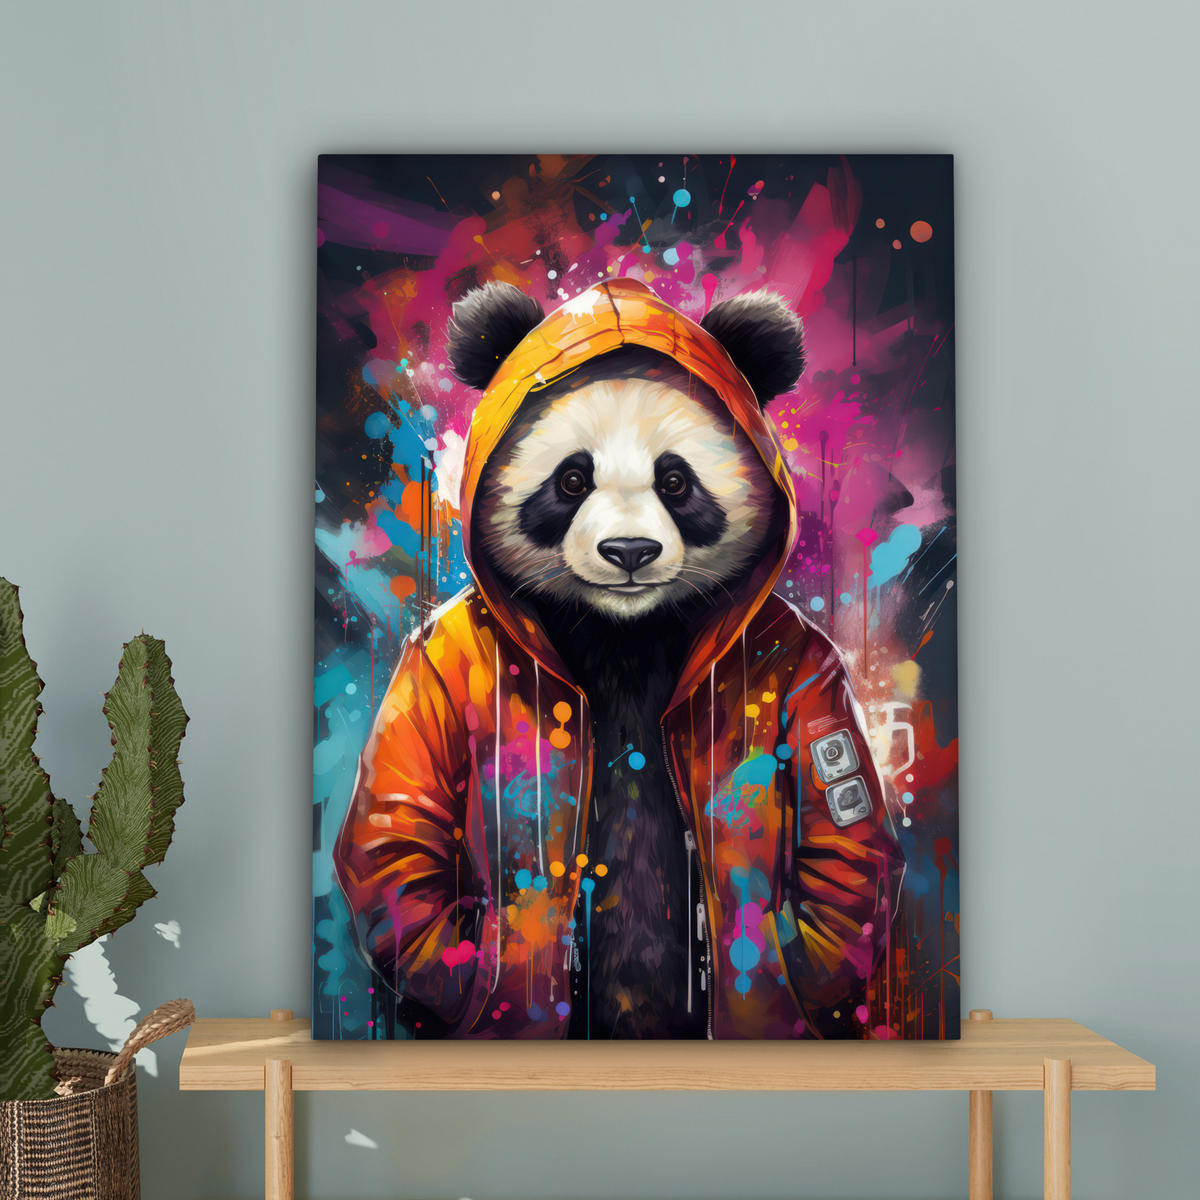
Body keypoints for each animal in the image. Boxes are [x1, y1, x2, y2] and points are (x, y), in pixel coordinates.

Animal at [334, 277, 902, 1041]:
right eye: (572, 481)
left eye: (676, 481)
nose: (629, 552)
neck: (625, 631)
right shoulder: (435, 659)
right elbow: (402, 828)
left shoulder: (805, 659)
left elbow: (839, 845)